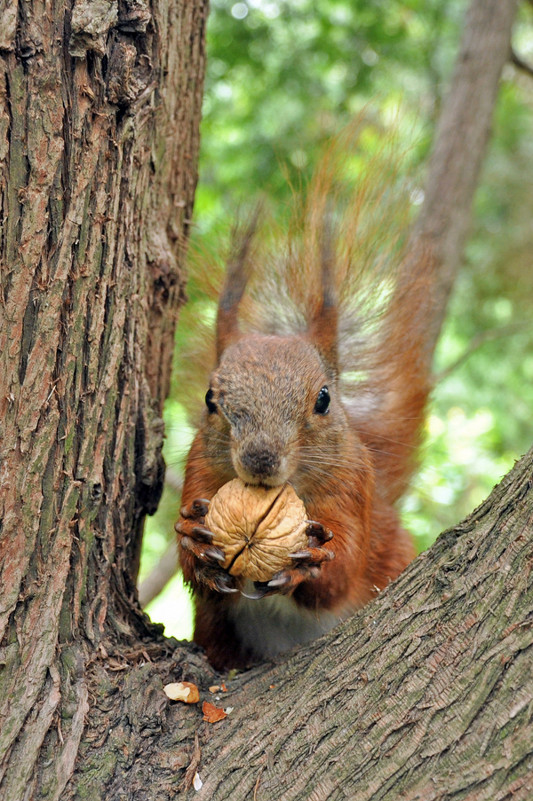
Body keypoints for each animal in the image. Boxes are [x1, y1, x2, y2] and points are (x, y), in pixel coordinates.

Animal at [175, 130, 432, 668]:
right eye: (211, 398)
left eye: (324, 400)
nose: (259, 460)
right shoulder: (200, 473)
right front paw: (192, 540)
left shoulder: (353, 487)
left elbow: (342, 571)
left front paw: (315, 558)